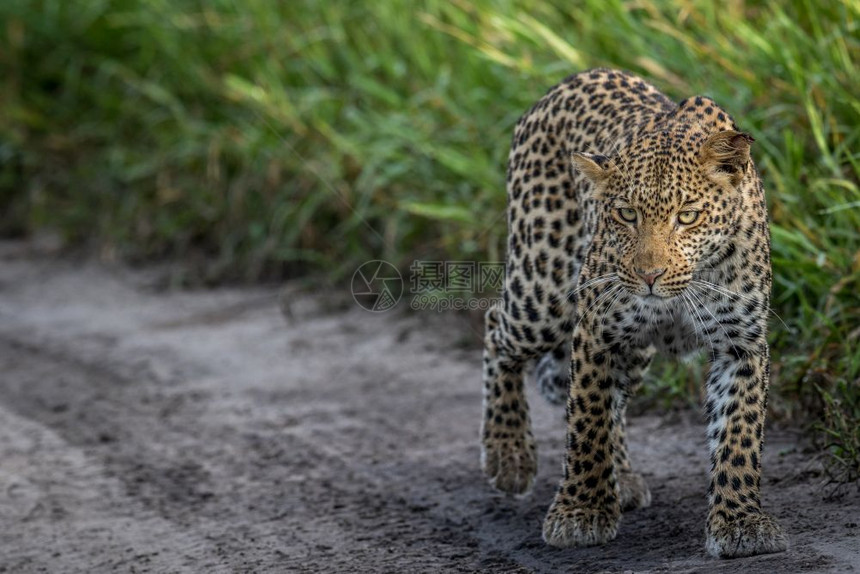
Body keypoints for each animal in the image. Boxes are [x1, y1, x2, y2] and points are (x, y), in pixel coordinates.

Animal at [480, 66, 788, 560]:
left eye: (688, 216)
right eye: (626, 215)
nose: (649, 275)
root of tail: (573, 77)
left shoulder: (740, 342)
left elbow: (739, 434)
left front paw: (741, 522)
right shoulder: (596, 329)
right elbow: (587, 420)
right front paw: (581, 511)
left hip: (632, 349)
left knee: (616, 402)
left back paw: (620, 477)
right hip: (543, 291)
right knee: (496, 330)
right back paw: (509, 454)